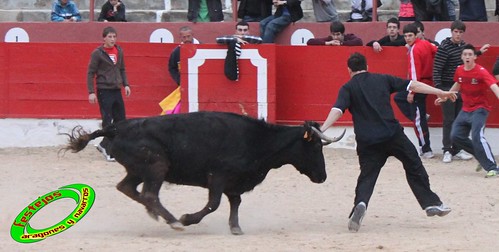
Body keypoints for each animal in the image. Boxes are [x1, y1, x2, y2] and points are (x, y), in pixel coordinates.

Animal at [62, 111, 346, 235]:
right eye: (315, 146)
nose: (323, 176)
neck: (258, 140)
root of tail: (114, 129)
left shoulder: (234, 182)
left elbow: (235, 203)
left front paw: (235, 227)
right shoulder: (217, 177)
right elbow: (213, 204)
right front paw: (188, 218)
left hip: (139, 170)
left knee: (128, 188)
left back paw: (156, 214)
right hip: (156, 166)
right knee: (149, 194)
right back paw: (173, 221)